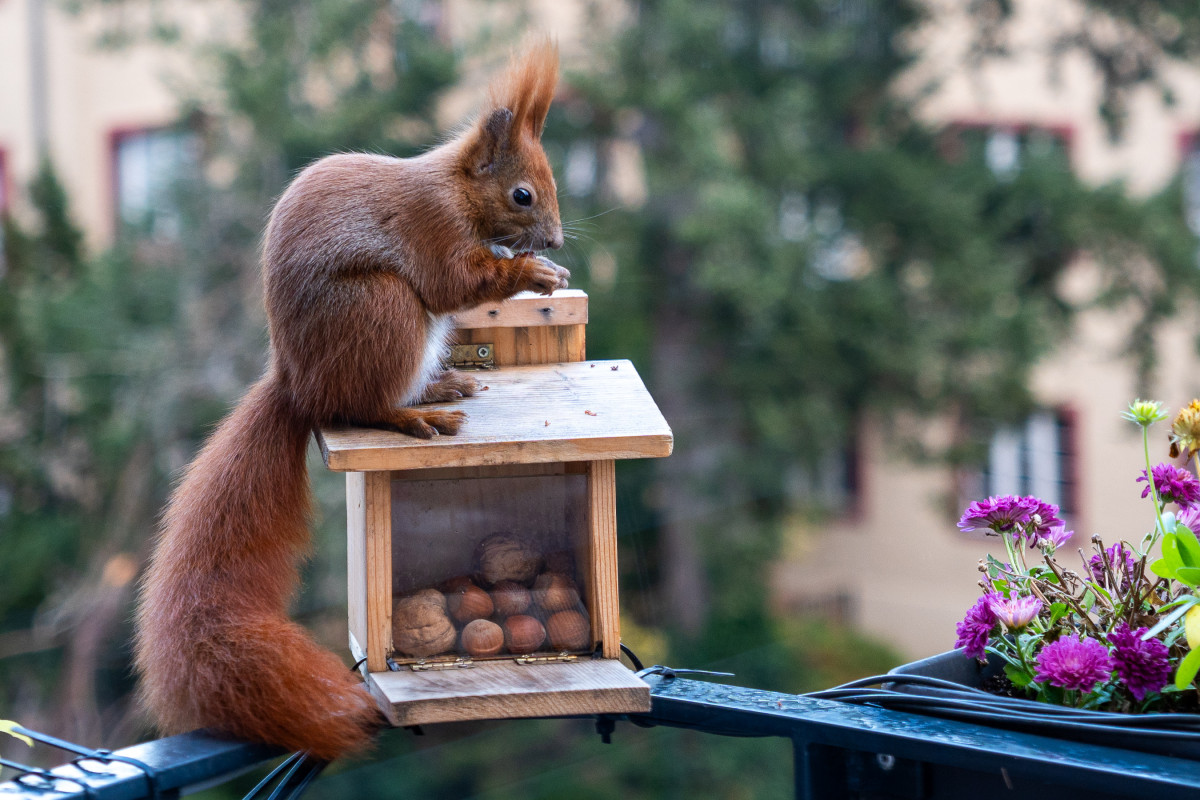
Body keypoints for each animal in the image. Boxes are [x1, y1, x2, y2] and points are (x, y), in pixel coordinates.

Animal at [136, 40, 566, 762]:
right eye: (522, 193)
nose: (559, 242)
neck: (456, 189)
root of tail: (297, 385)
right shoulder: (433, 231)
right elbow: (455, 282)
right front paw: (532, 272)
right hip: (382, 310)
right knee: (361, 406)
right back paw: (415, 414)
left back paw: (440, 386)